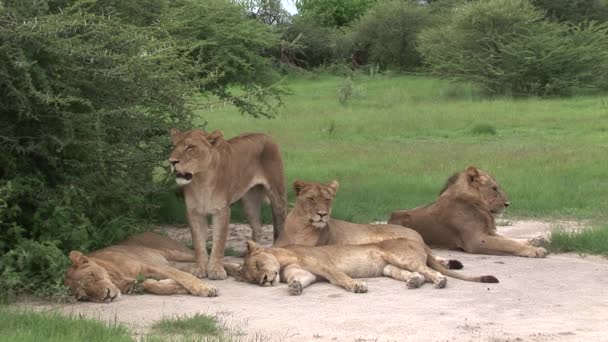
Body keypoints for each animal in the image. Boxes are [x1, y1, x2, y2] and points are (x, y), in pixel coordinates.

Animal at [63, 232, 218, 302]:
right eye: (85, 296)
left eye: (92, 276)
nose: (107, 296)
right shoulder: (138, 280)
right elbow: (154, 285)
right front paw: (175, 286)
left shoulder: (154, 265)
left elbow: (184, 277)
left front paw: (204, 288)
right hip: (176, 261)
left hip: (178, 253)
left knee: (210, 258)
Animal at [169, 130, 288, 280]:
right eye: (173, 146)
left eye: (190, 147)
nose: (172, 161)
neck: (201, 181)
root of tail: (265, 134)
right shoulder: (194, 212)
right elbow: (198, 244)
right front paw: (199, 269)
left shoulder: (222, 211)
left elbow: (219, 243)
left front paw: (216, 271)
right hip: (249, 202)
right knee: (257, 227)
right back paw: (251, 253)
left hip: (277, 196)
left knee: (281, 221)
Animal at [390, 167, 548, 258]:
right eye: (494, 188)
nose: (507, 204)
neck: (479, 205)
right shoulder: (476, 240)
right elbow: (507, 244)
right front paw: (535, 250)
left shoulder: (488, 232)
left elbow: (509, 239)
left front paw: (535, 241)